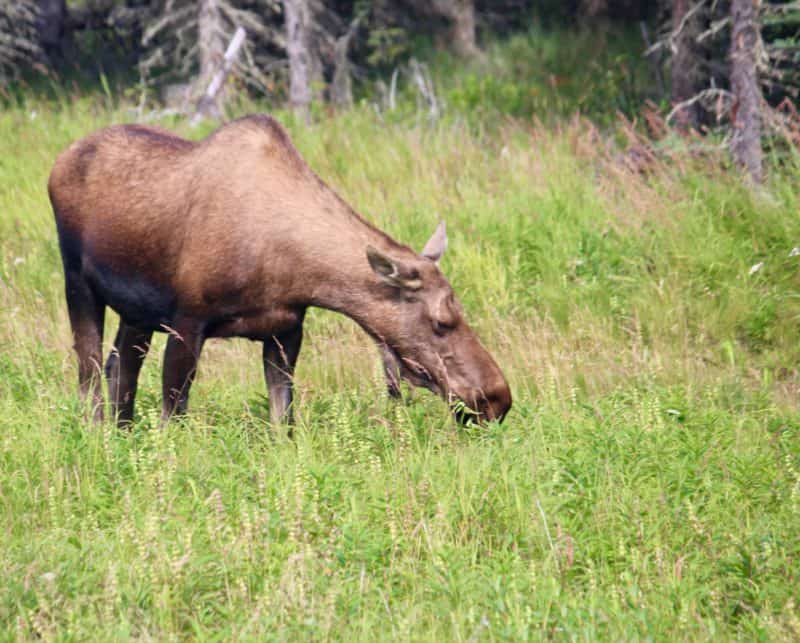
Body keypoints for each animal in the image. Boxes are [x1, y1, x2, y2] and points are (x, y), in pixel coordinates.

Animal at [48, 115, 512, 428]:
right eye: (441, 322)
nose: (496, 398)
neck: (291, 268)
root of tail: (58, 163)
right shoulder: (188, 322)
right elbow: (172, 417)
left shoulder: (285, 331)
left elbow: (283, 423)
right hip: (78, 283)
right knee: (90, 375)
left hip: (137, 313)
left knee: (119, 370)